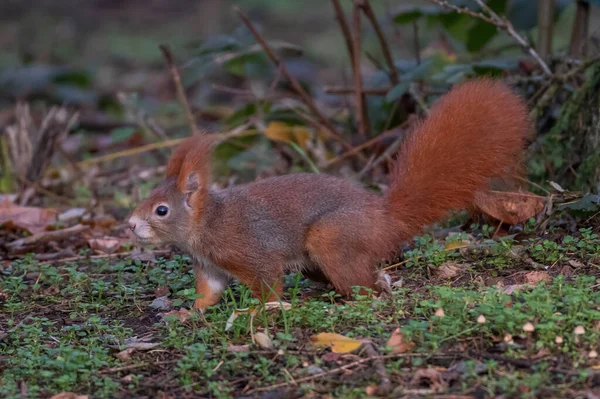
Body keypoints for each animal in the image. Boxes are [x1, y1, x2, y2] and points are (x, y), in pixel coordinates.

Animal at [129, 79, 528, 310]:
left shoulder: (252, 253)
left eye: (161, 210)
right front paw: (187, 315)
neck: (207, 222)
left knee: (364, 285)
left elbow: (267, 285)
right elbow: (208, 294)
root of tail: (384, 219)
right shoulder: (209, 267)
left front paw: (259, 312)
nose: (131, 225)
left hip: (332, 237)